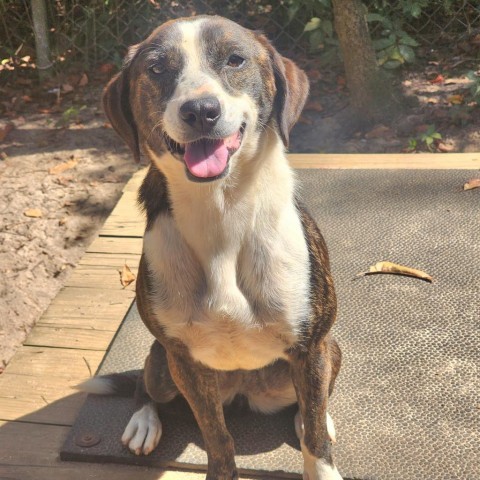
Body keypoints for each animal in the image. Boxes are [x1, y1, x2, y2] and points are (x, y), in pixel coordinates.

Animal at [79, 15, 342, 480]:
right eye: (156, 69)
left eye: (235, 60)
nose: (200, 110)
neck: (221, 211)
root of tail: (244, 392)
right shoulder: (185, 361)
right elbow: (218, 439)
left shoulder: (311, 347)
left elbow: (314, 437)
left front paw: (321, 452)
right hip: (164, 365)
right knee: (145, 385)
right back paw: (143, 422)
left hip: (330, 352)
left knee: (310, 406)